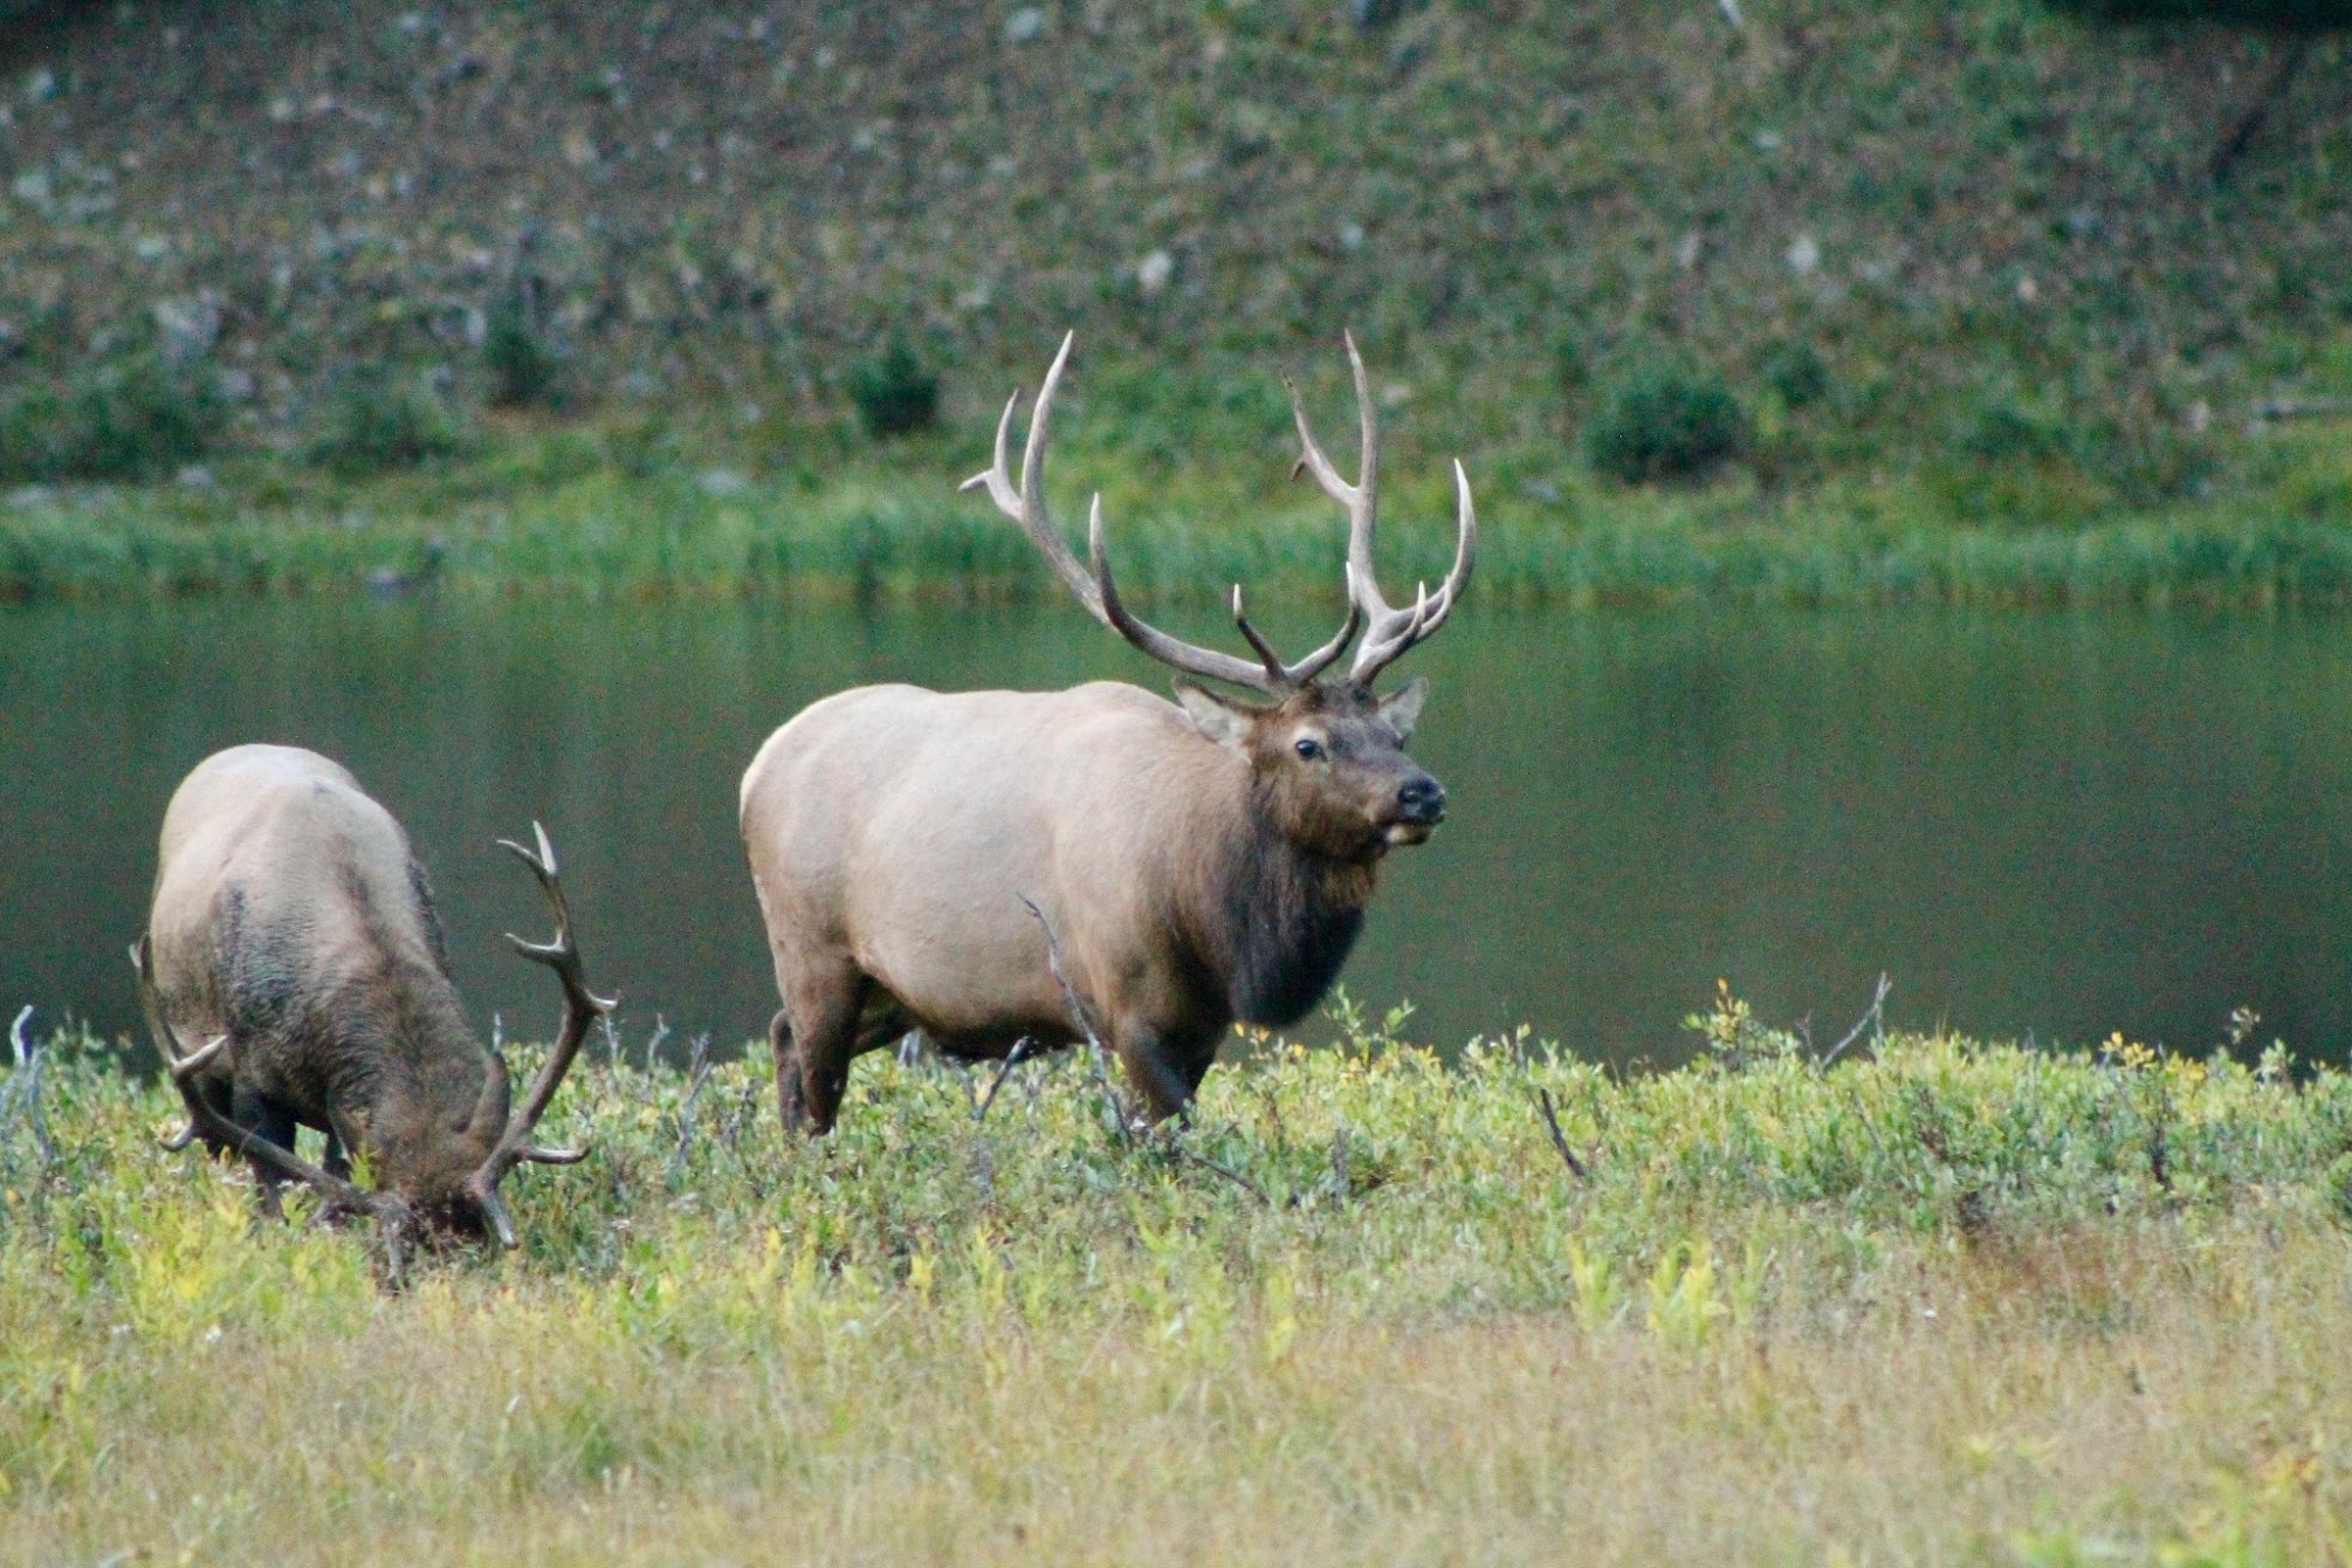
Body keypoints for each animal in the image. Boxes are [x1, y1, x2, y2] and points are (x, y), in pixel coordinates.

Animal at [740, 331, 1473, 1133]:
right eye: (1307, 744)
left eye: (1395, 738)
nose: (1423, 794)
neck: (1211, 921)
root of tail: (756, 768)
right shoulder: (1127, 1007)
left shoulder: (1202, 1025)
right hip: (811, 949)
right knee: (812, 1080)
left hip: (892, 992)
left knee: (780, 1039)